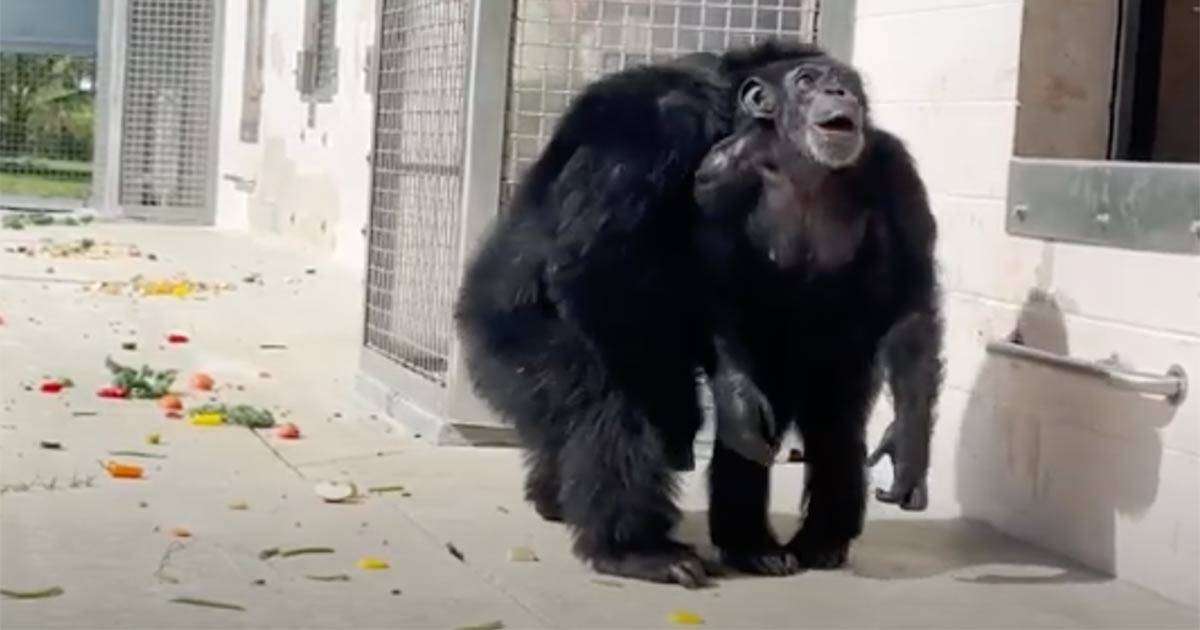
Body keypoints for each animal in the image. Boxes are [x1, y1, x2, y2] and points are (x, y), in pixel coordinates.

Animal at [696, 54, 945, 573]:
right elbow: (711, 286)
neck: (803, 164)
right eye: (807, 80)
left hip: (840, 367)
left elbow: (912, 298)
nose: (838, 91)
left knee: (837, 430)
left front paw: (908, 448)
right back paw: (752, 546)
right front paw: (739, 404)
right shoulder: (717, 174)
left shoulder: (899, 172)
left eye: (847, 81)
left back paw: (822, 541)